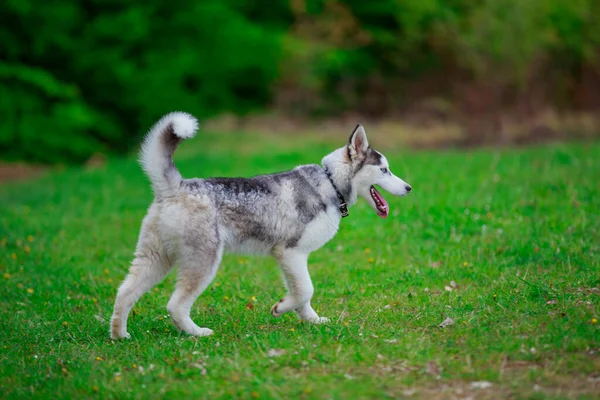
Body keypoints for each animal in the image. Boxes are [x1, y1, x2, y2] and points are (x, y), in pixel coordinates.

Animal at [110, 113, 410, 340]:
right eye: (384, 170)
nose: (409, 188)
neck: (330, 182)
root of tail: (176, 187)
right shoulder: (291, 252)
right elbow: (305, 290)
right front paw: (281, 308)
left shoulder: (293, 258)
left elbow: (302, 294)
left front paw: (311, 319)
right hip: (202, 261)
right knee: (175, 305)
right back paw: (197, 333)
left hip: (155, 258)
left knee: (124, 292)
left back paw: (119, 335)